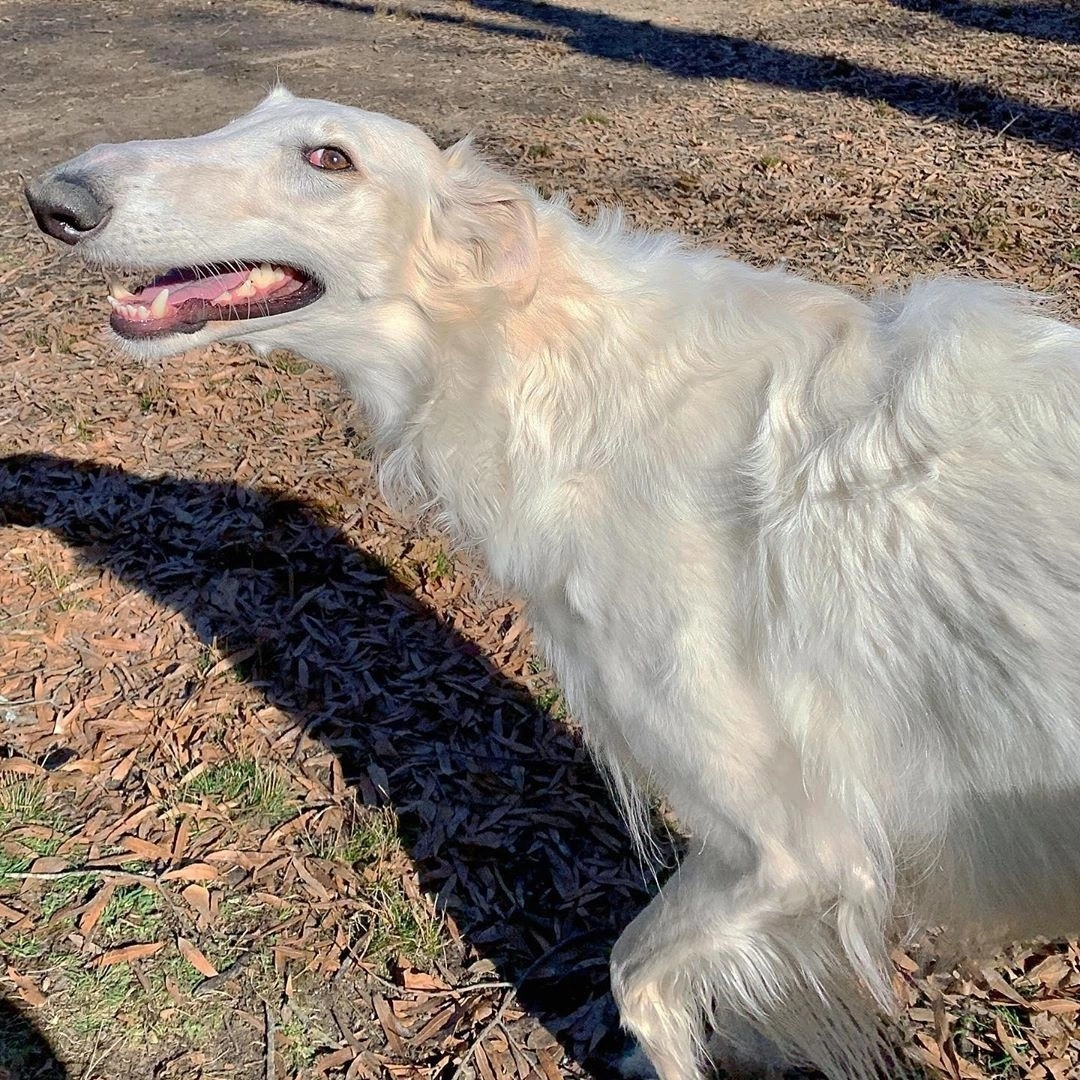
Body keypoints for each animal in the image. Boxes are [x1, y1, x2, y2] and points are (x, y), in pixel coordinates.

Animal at [25, 88, 1080, 1075]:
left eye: (330, 158)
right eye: (248, 115)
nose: (52, 198)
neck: (557, 366)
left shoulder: (788, 847)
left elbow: (638, 977)